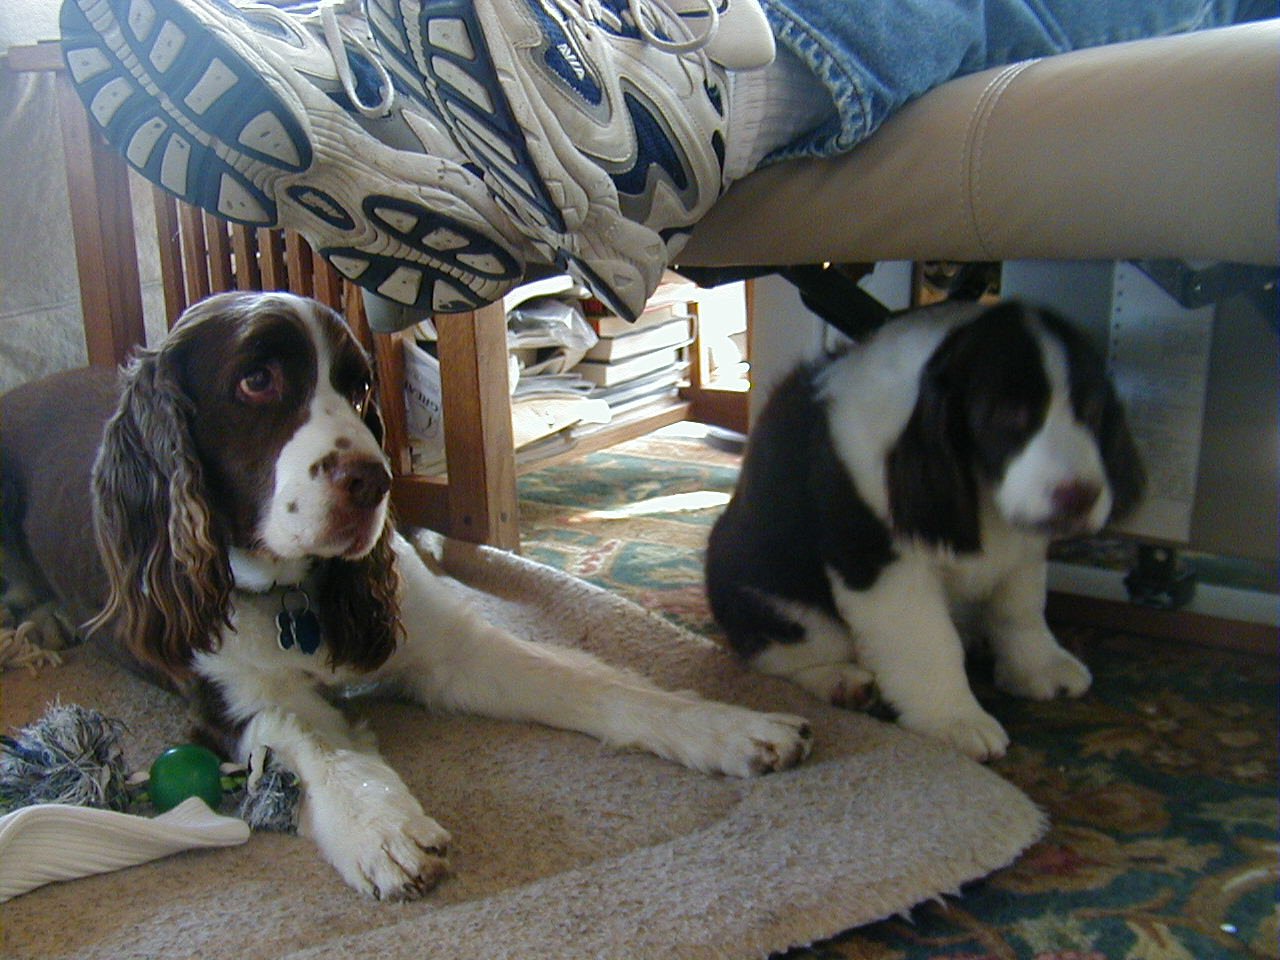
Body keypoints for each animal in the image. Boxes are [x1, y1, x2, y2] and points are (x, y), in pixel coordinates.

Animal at [2, 291, 808, 901]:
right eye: (256, 380)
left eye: (359, 386)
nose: (376, 483)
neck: (293, 596)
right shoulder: (227, 701)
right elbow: (310, 747)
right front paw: (381, 832)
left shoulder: (450, 649)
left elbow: (594, 684)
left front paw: (731, 727)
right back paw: (34, 633)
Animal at [706, 300, 1146, 757]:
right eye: (1008, 416)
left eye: (1092, 412)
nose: (1080, 497)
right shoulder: (884, 566)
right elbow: (929, 640)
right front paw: (956, 720)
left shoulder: (1023, 546)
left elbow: (1020, 608)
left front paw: (1040, 667)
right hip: (775, 596)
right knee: (781, 652)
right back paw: (841, 681)